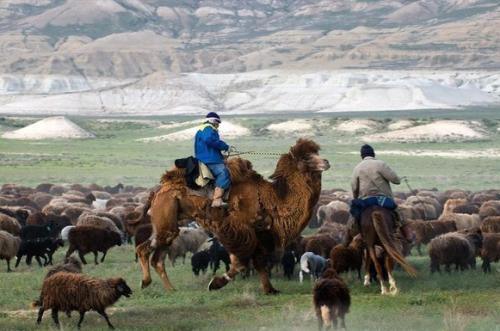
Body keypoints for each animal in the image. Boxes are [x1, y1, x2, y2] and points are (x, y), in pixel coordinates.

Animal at [137, 139, 330, 294]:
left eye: (316, 153)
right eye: (305, 158)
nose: (326, 162)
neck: (272, 199)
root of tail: (158, 190)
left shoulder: (258, 234)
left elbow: (259, 263)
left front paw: (270, 289)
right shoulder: (238, 231)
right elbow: (240, 263)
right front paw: (215, 283)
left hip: (167, 222)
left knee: (156, 257)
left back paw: (170, 288)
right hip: (166, 216)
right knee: (145, 249)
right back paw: (146, 282)